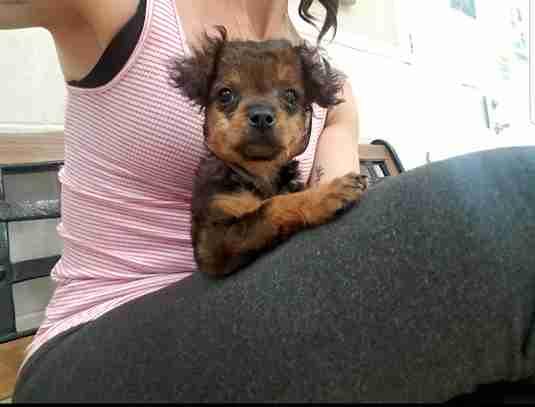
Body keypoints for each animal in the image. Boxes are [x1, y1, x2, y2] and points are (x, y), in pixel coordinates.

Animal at [173, 26, 368, 278]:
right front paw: (327, 193)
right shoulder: (213, 243)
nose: (262, 116)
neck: (260, 171)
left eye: (291, 95)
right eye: (225, 94)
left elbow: (276, 200)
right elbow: (271, 206)